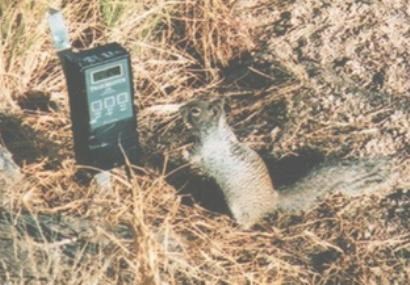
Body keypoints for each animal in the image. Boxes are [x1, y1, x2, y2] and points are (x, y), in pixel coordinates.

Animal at [180, 96, 398, 227]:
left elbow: (194, 158)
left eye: (195, 110)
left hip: (242, 209)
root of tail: (273, 200)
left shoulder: (206, 150)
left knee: (248, 224)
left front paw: (181, 152)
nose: (181, 108)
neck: (214, 131)